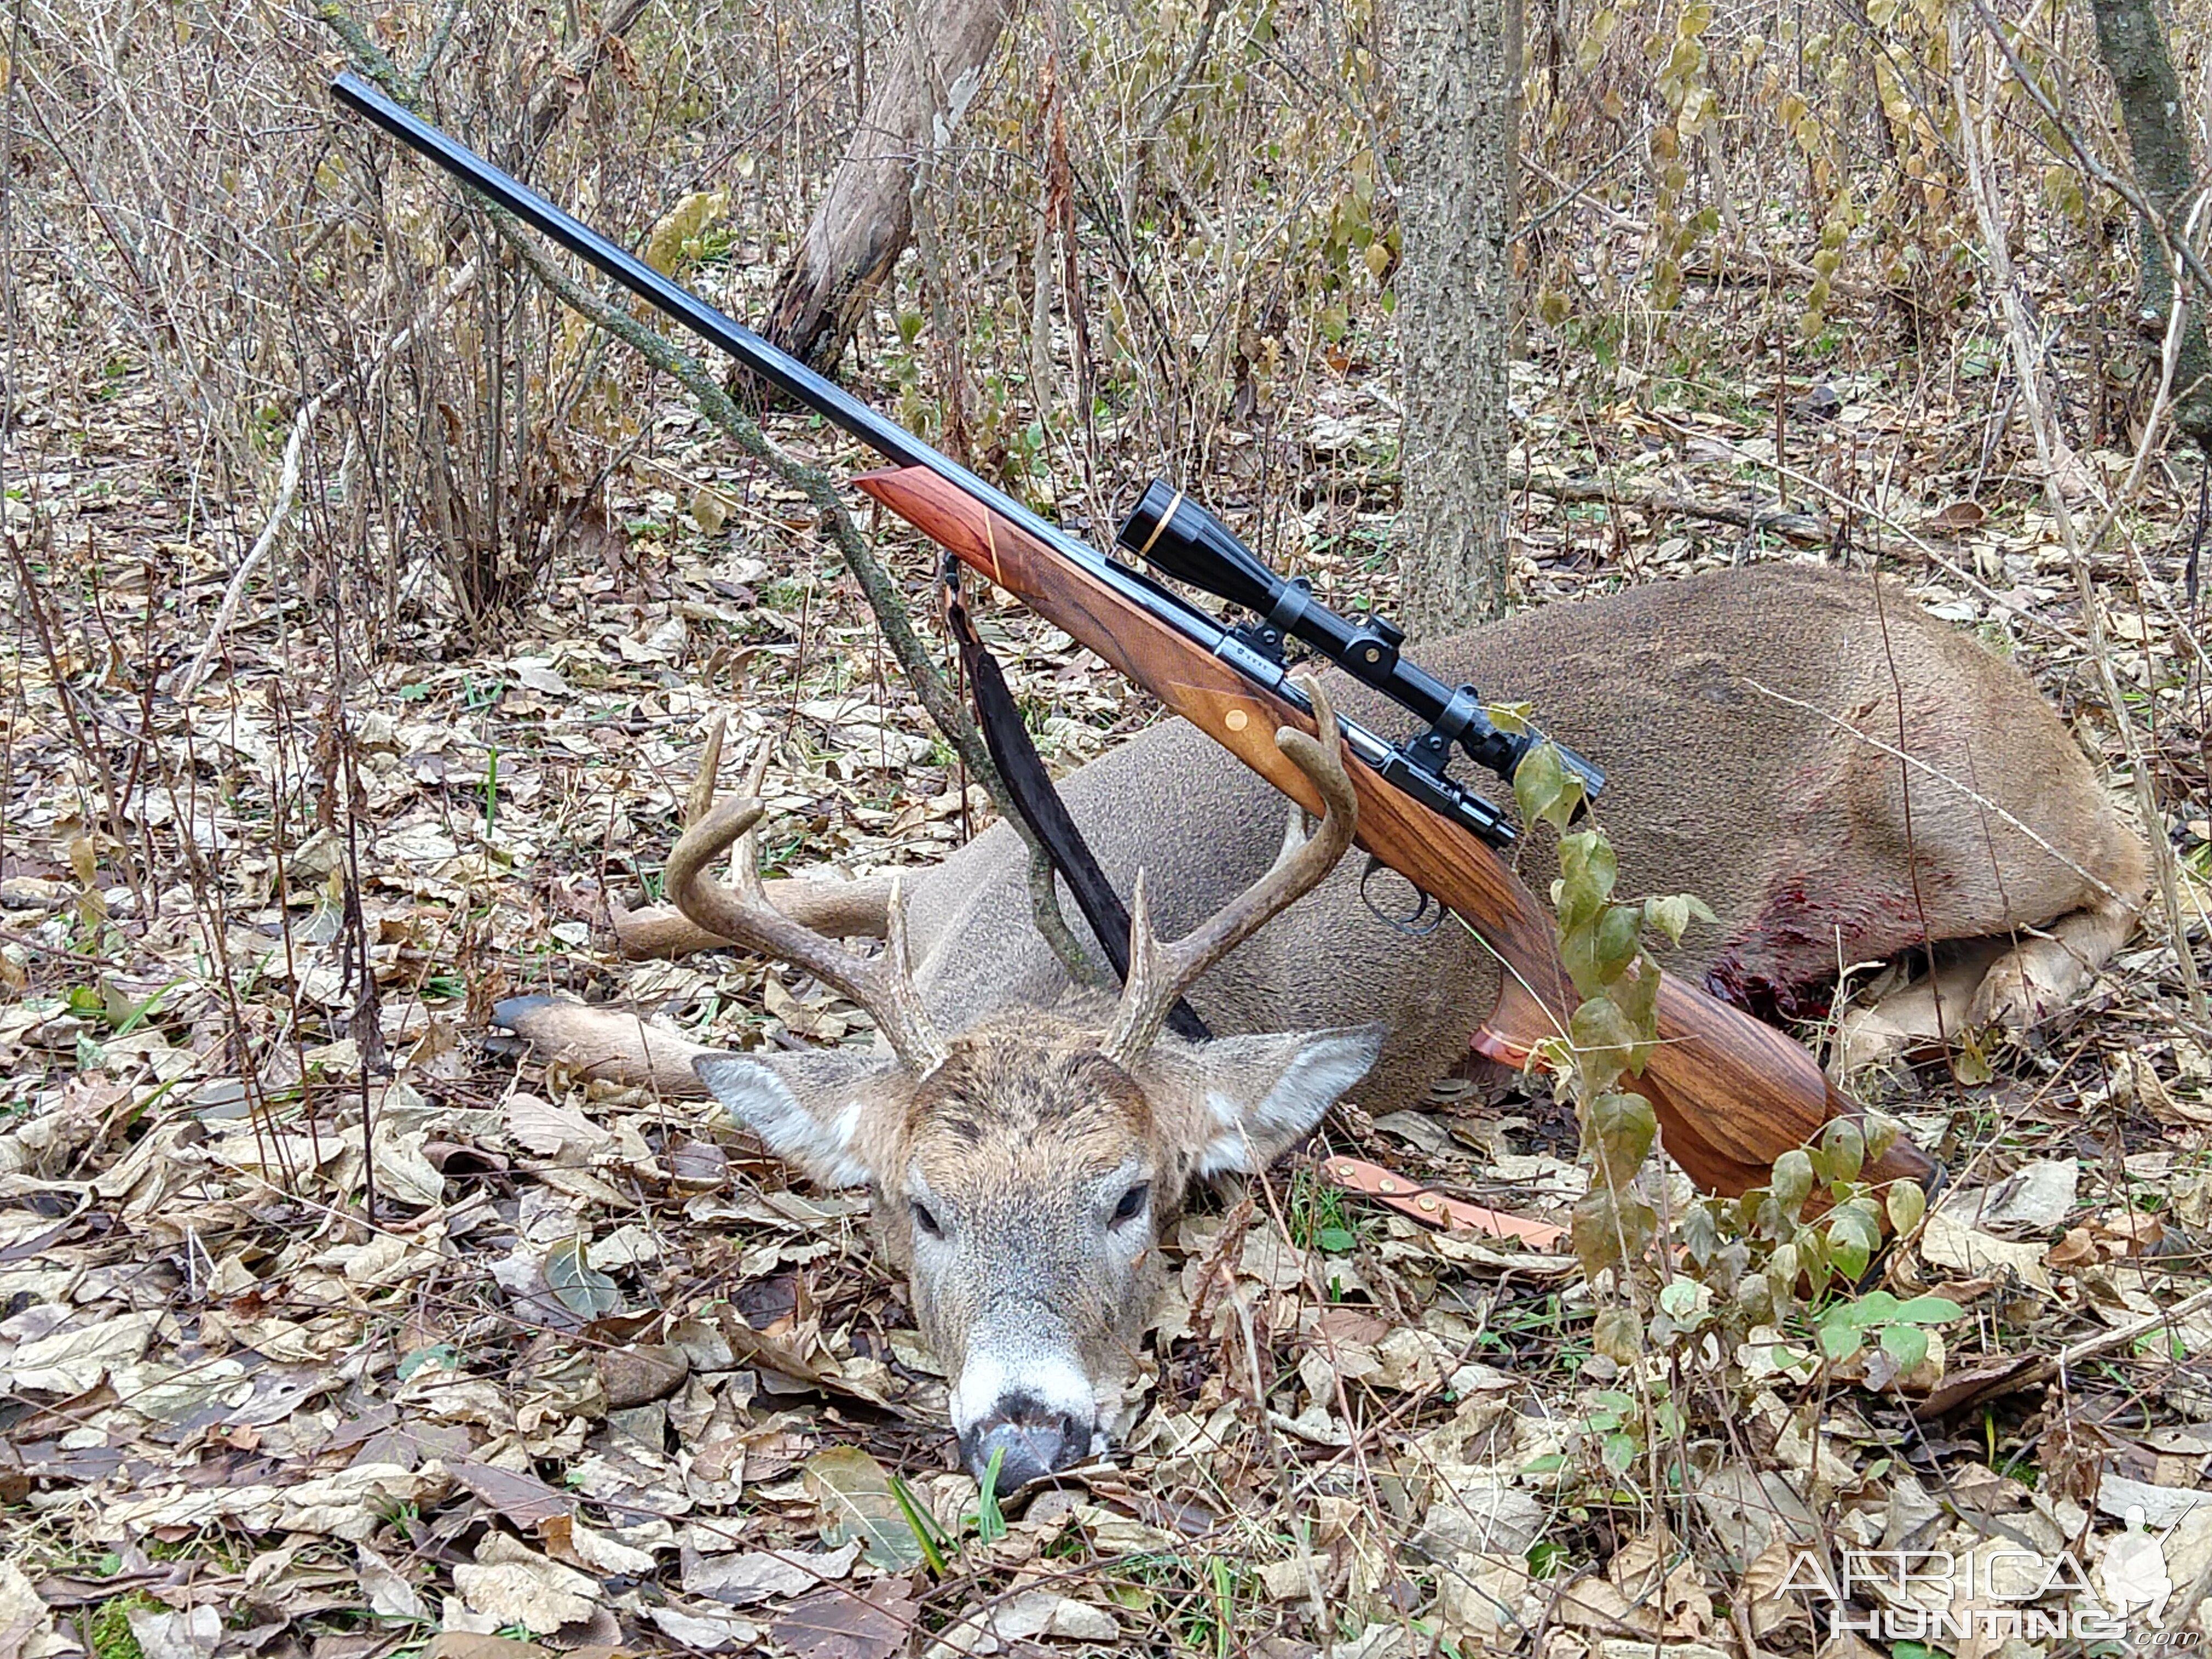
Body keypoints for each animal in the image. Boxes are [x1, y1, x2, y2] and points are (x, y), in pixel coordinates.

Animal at [498, 566, 2141, 1486]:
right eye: (919, 1209)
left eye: (1137, 1198)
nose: (1026, 1438)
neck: (1035, 949)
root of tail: (1971, 644)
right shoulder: (918, 889)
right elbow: (731, 917)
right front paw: (558, 975)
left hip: (1958, 802)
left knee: (2139, 866)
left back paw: (1930, 1016)